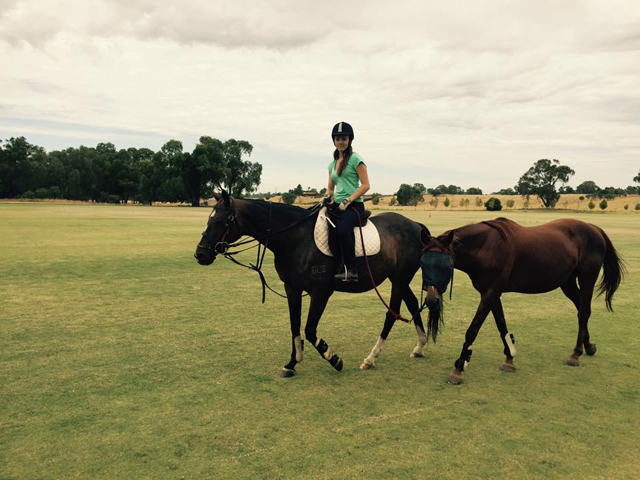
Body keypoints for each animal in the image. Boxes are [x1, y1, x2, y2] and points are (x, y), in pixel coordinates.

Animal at [194, 190, 436, 376]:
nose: (200, 254)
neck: (295, 238)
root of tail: (415, 225)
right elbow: (294, 325)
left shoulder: (321, 292)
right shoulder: (292, 288)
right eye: (209, 219)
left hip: (400, 278)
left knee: (392, 313)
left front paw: (334, 359)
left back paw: (370, 358)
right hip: (399, 279)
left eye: (221, 221)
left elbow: (310, 330)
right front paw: (292, 363)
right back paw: (419, 346)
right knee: (412, 303)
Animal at [420, 216, 624, 384]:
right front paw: (509, 358)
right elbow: (501, 325)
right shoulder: (491, 293)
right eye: (423, 264)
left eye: (446, 266)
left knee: (584, 312)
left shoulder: (490, 292)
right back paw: (588, 346)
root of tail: (594, 228)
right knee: (581, 308)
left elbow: (472, 330)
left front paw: (458, 368)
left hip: (587, 277)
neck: (487, 247)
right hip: (567, 282)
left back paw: (575, 354)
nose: (431, 300)